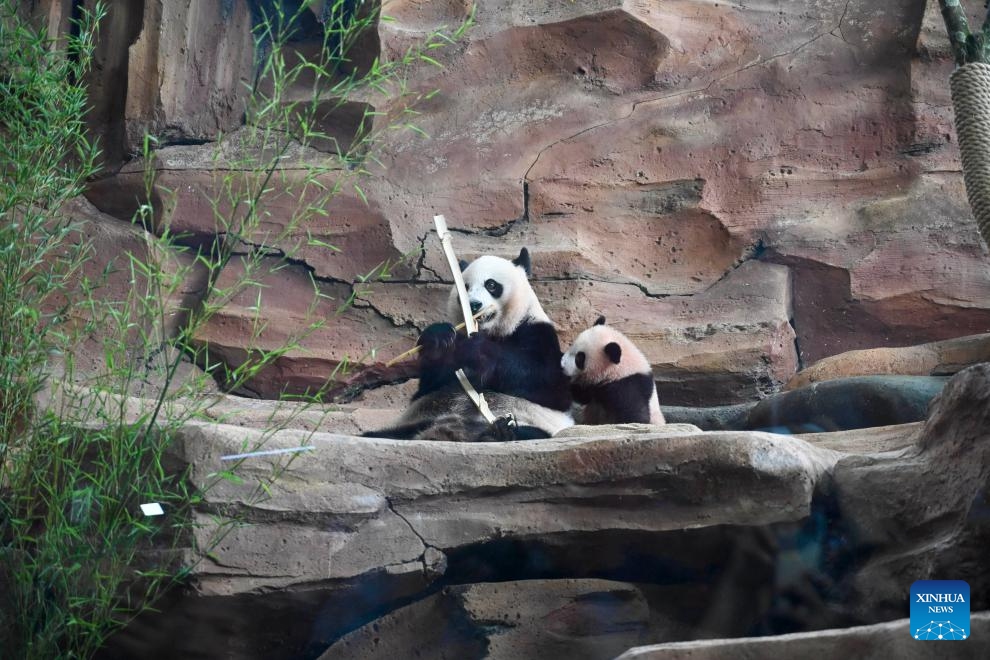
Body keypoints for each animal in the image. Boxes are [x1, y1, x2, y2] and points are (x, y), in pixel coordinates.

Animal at [364, 247, 573, 441]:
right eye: (464, 287)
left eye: (491, 284)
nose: (473, 305)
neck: (491, 332)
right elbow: (427, 387)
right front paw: (438, 338)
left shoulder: (537, 332)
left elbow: (551, 385)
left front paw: (479, 352)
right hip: (417, 420)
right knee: (381, 434)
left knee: (529, 432)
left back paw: (500, 433)